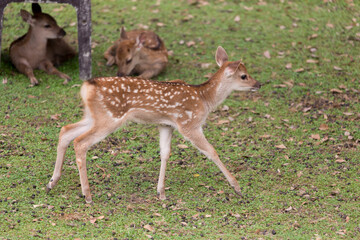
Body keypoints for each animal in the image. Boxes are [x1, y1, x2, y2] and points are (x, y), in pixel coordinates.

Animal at [46, 46, 260, 202]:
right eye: (243, 76)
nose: (258, 84)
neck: (204, 99)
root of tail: (86, 87)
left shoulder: (166, 125)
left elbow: (165, 153)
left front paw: (161, 193)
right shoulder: (188, 124)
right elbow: (211, 151)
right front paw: (237, 187)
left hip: (93, 116)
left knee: (65, 131)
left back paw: (51, 183)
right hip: (110, 117)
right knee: (80, 142)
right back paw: (87, 195)